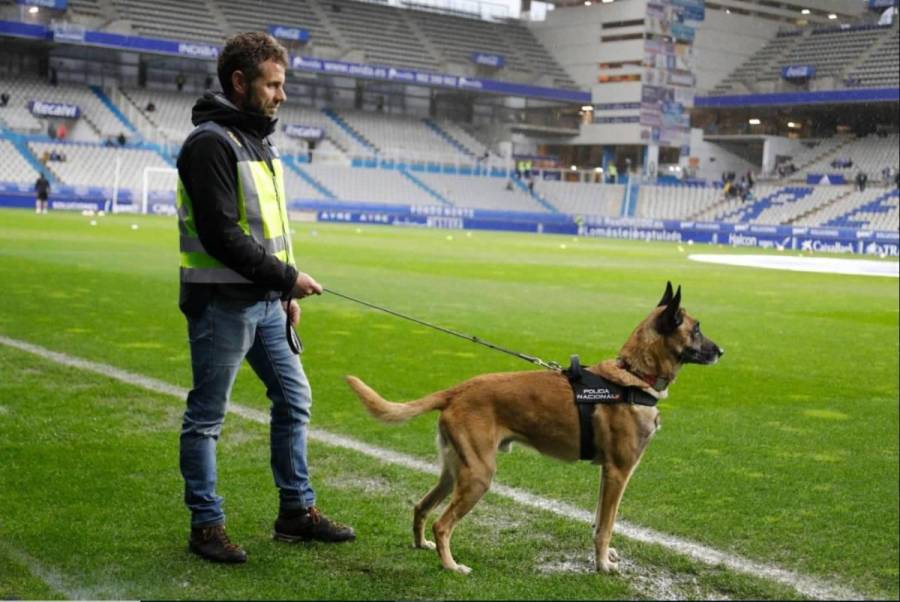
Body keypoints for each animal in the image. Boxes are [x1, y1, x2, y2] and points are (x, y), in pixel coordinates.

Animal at [346, 282, 724, 572]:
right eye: (696, 329)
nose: (722, 351)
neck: (633, 376)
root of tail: (458, 389)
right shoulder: (619, 472)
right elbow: (606, 524)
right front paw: (603, 565)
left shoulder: (607, 475)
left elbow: (600, 520)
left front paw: (605, 555)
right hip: (479, 476)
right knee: (443, 523)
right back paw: (451, 566)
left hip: (454, 472)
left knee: (421, 507)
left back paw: (421, 544)